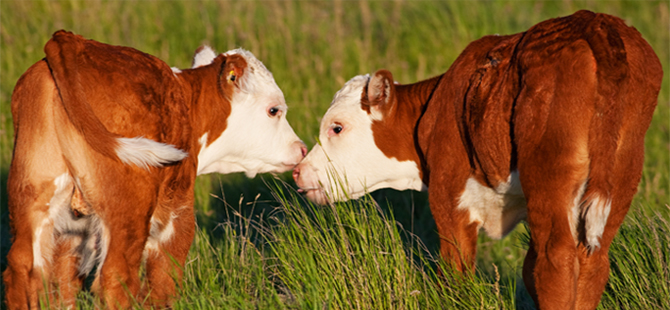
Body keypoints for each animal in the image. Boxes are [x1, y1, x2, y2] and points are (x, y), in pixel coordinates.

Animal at [3, 30, 304, 308]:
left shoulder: (72, 238)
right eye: (274, 110)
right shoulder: (178, 214)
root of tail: (71, 40)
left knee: (21, 267)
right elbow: (163, 281)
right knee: (116, 276)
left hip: (31, 196)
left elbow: (63, 286)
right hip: (129, 209)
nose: (301, 148)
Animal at [296, 10, 664, 308]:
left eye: (336, 127)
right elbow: (527, 270)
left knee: (555, 260)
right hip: (621, 171)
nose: (300, 171)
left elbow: (455, 274)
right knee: (592, 261)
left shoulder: (449, 198)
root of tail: (594, 22)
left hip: (550, 171)